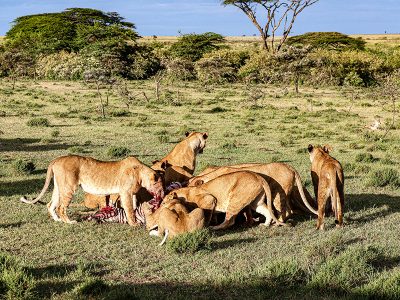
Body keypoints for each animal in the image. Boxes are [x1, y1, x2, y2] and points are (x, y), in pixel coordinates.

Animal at [19, 155, 164, 225]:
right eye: (161, 187)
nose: (163, 195)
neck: (140, 173)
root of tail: (56, 160)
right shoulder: (125, 192)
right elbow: (129, 208)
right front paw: (134, 223)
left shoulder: (131, 193)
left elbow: (133, 206)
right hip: (68, 187)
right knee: (61, 207)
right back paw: (69, 222)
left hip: (58, 187)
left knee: (50, 204)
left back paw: (57, 220)